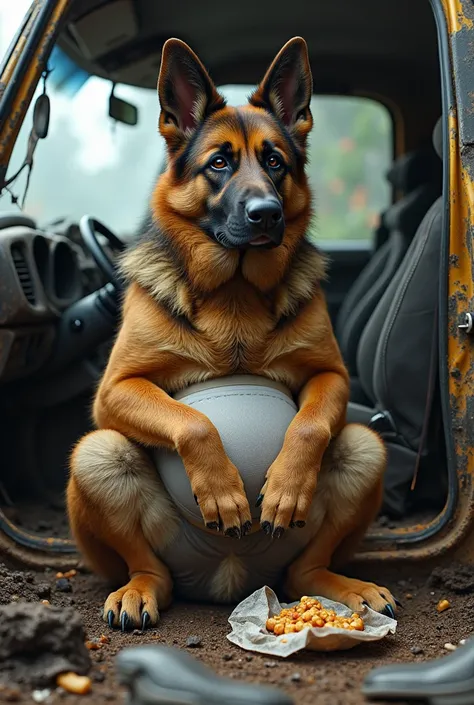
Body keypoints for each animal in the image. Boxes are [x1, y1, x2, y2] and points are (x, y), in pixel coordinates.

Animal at [68, 35, 396, 628]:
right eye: (219, 162)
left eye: (275, 162)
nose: (267, 214)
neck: (236, 292)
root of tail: (230, 576)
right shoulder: (115, 392)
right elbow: (194, 423)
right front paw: (223, 490)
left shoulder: (330, 376)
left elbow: (308, 427)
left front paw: (285, 487)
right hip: (98, 456)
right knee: (146, 559)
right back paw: (139, 588)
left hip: (364, 449)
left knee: (308, 562)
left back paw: (341, 585)